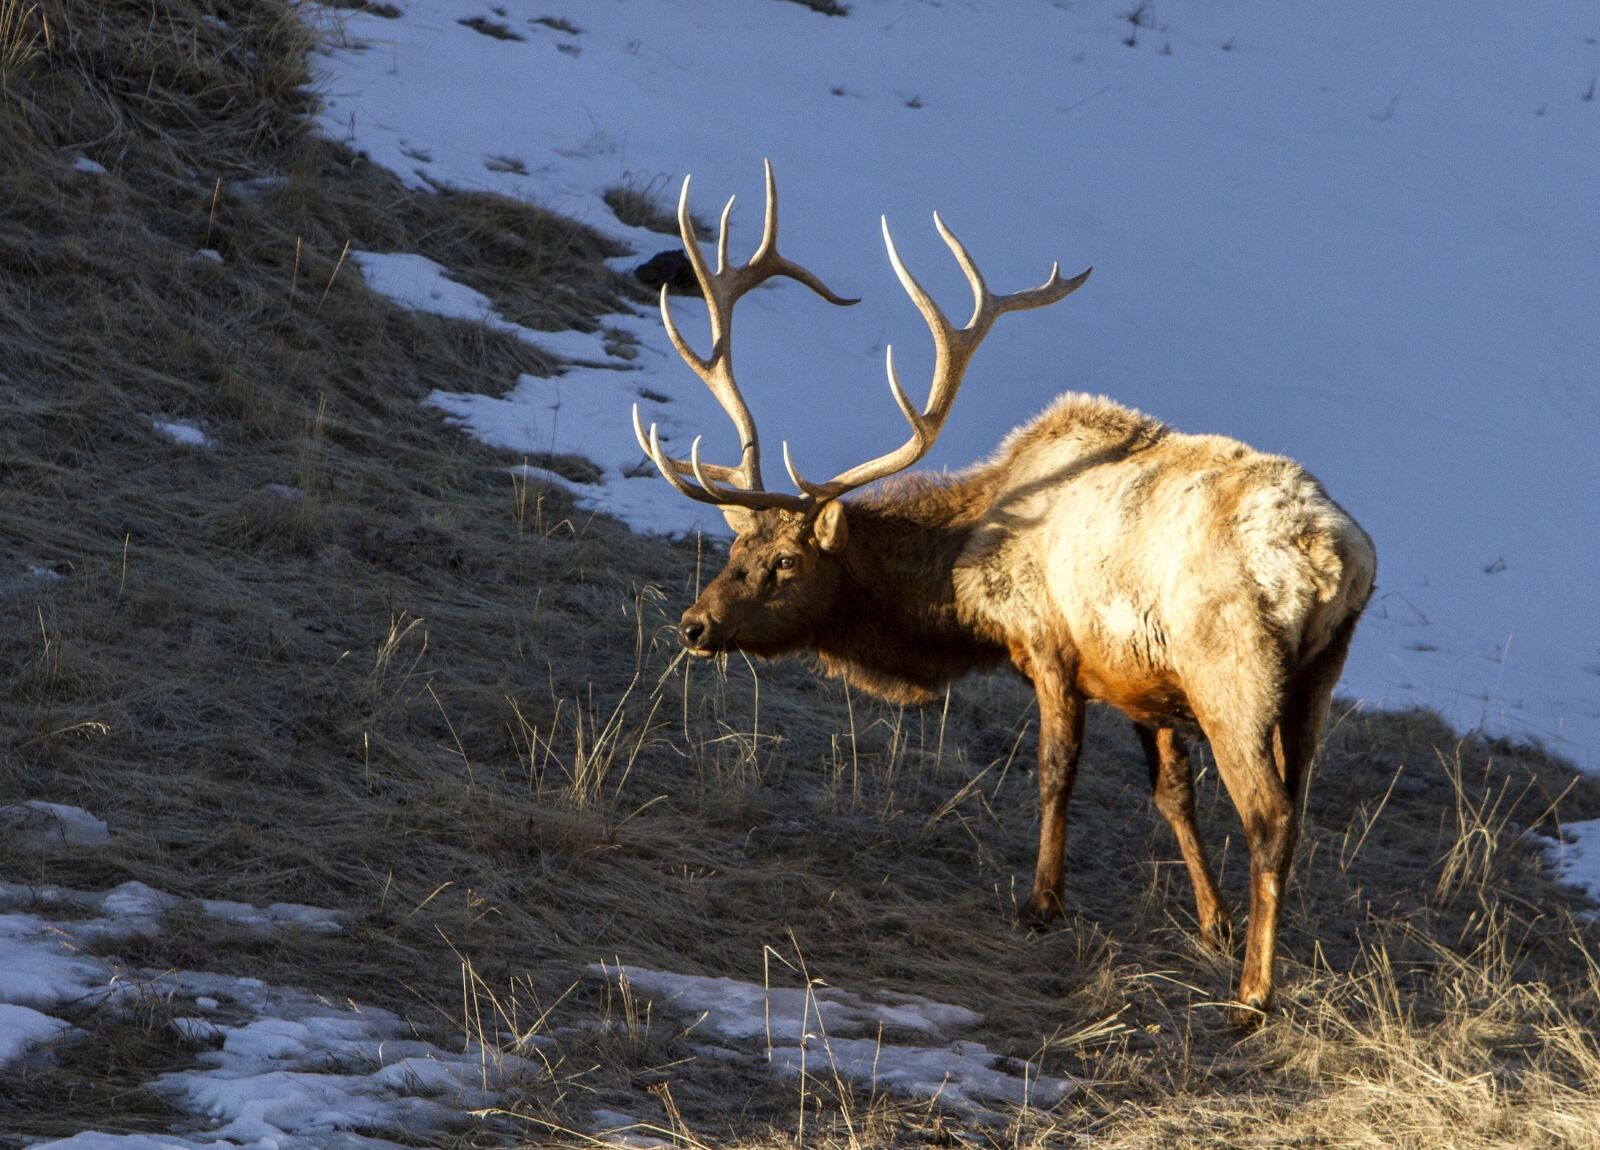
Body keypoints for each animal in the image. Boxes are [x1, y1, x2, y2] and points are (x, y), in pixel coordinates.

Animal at [633, 163, 1376, 1023]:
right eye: (734, 548)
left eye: (785, 561)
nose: (695, 624)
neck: (964, 585)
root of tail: (1335, 558)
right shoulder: (1143, 680)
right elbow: (1172, 794)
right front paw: (1211, 924)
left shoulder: (1053, 646)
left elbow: (1056, 771)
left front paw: (1041, 905)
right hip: (1317, 678)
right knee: (1296, 808)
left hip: (1233, 672)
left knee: (1269, 816)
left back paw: (1253, 997)